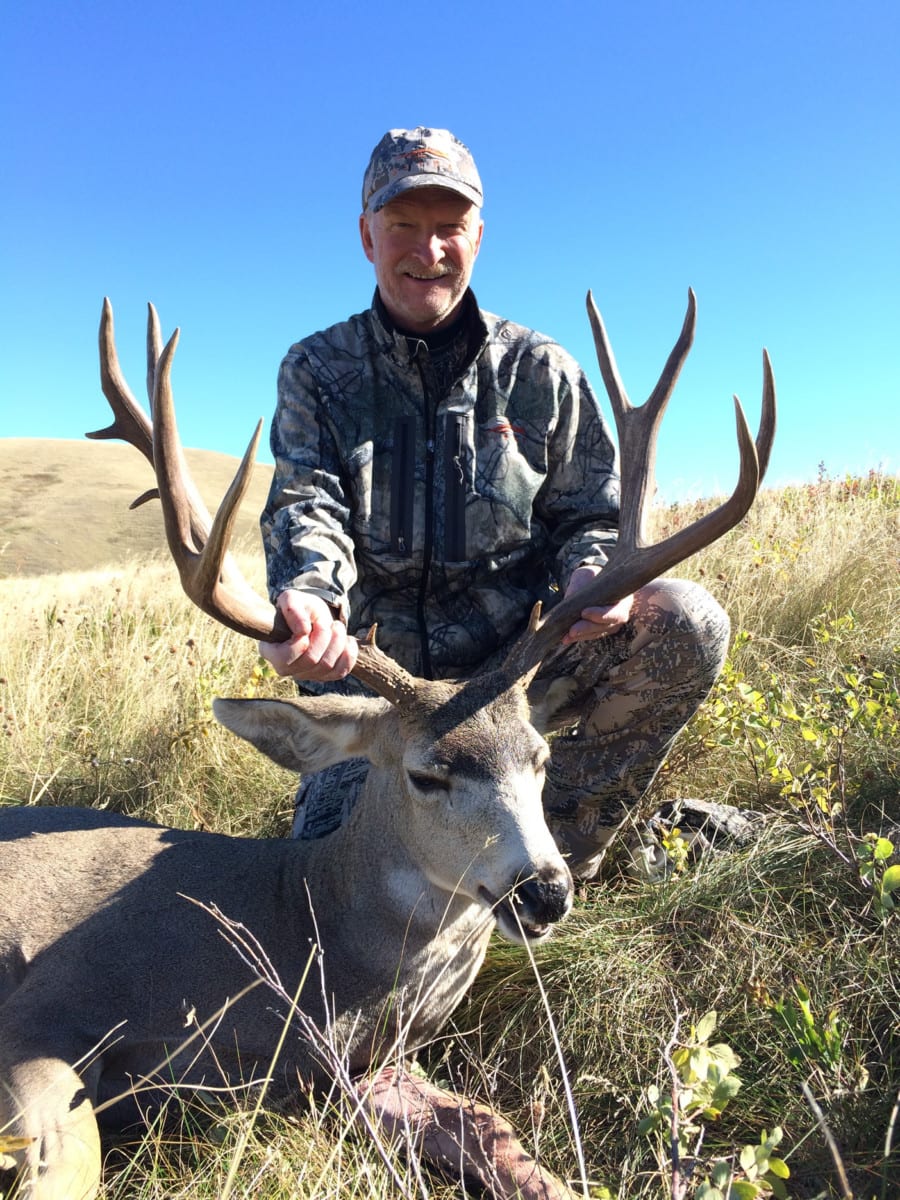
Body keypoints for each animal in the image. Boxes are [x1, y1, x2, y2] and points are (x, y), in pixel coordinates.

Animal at [0, 293, 775, 1200]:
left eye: (542, 760)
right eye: (427, 774)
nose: (545, 892)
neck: (299, 929)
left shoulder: (359, 1070)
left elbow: (495, 1134)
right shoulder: (49, 1005)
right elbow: (67, 1162)